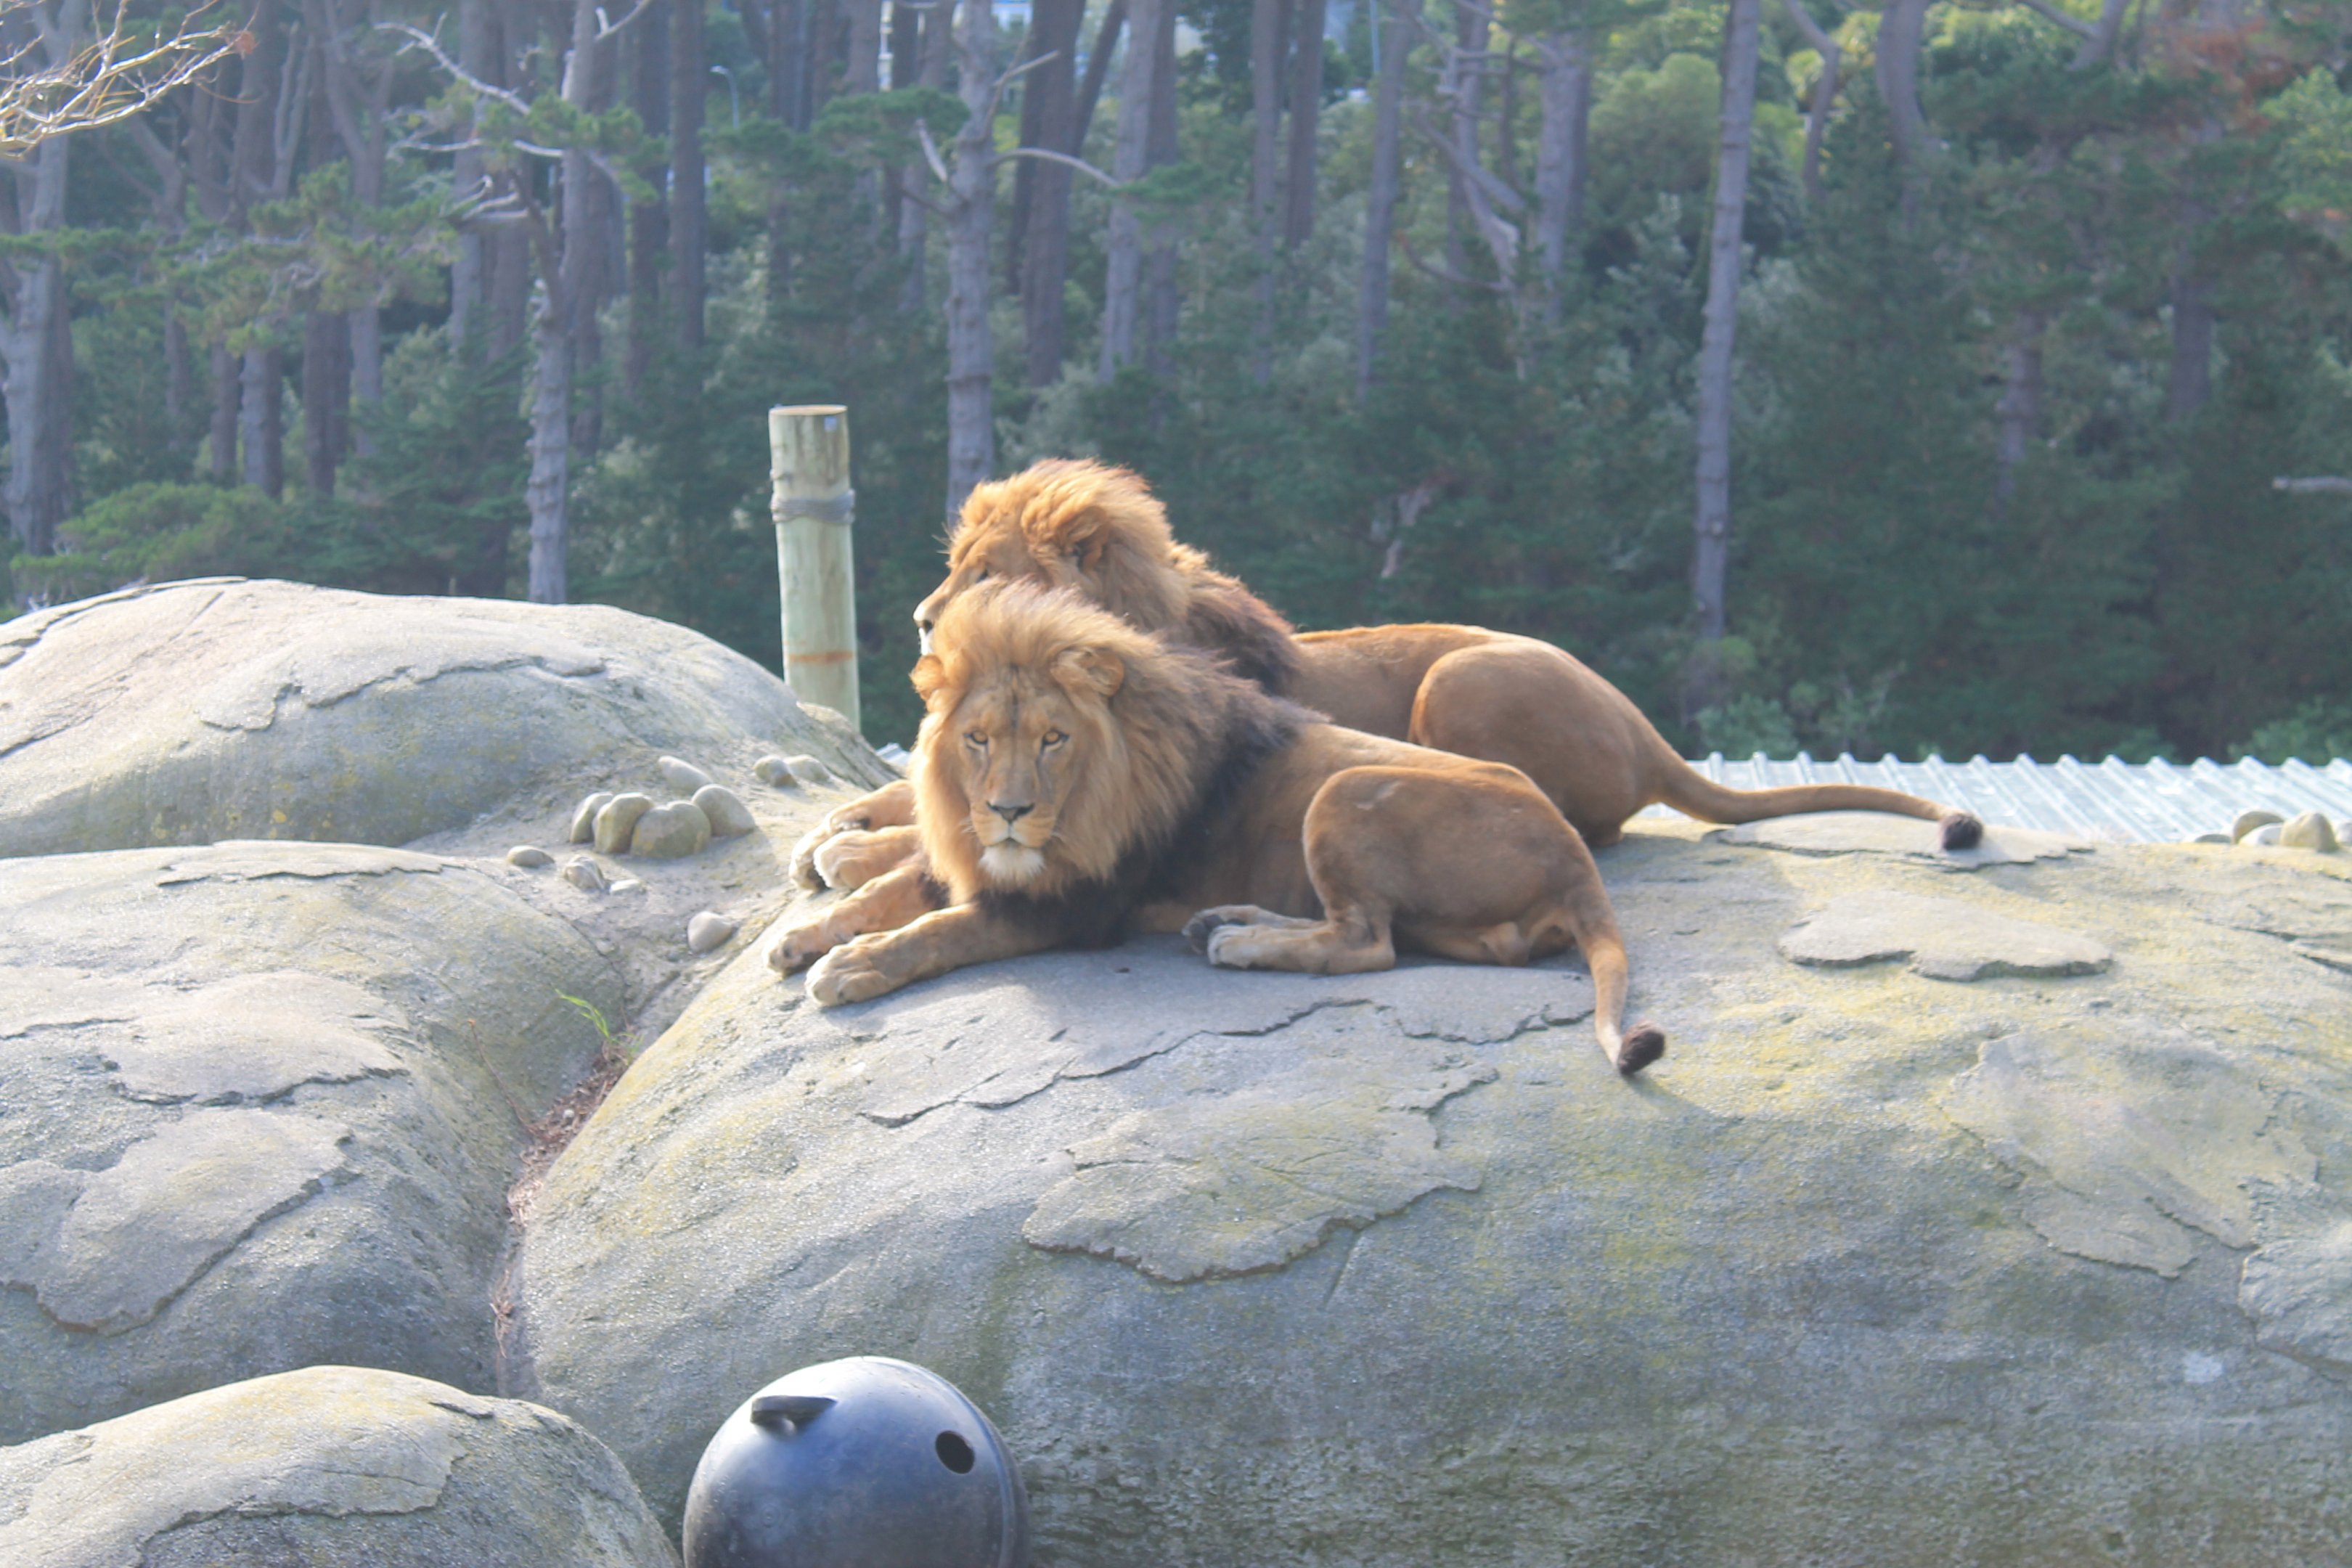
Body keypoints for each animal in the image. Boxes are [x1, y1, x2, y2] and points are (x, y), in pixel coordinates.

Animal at [777, 581, 1667, 1076]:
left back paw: (1239, 943)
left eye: (1054, 739)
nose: (1008, 811)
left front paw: (852, 966)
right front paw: (804, 937)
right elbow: (896, 889)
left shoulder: (1075, 905)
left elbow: (942, 930)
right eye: (979, 740)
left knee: (1367, 944)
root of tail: (1576, 860)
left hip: (1343, 788)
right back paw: (1227, 921)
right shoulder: (985, 858)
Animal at [791, 458, 1982, 892]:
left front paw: (850, 857)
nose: (921, 619)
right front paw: (842, 825)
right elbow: (911, 793)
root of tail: (1647, 729)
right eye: (954, 566)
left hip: (1461, 681)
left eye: (984, 572)